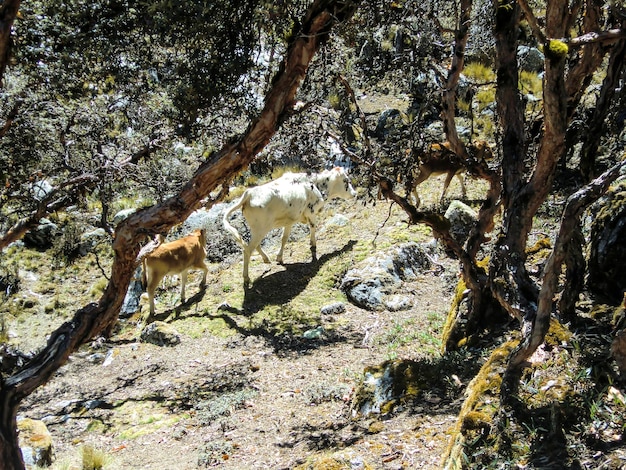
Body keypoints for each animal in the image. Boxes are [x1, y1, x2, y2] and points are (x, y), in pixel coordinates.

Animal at [223, 169, 356, 286]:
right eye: (346, 180)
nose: (355, 194)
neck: (316, 185)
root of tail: (249, 193)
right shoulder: (311, 213)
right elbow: (313, 228)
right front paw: (313, 245)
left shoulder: (289, 221)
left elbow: (284, 238)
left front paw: (279, 258)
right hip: (260, 229)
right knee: (247, 250)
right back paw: (246, 278)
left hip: (257, 229)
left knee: (253, 245)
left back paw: (266, 259)